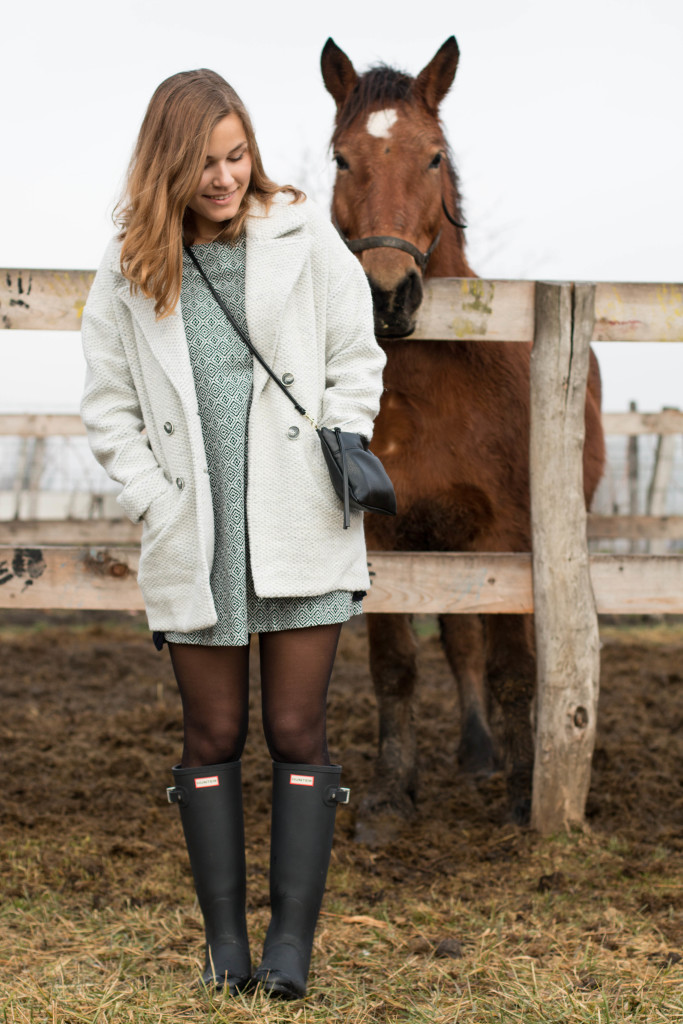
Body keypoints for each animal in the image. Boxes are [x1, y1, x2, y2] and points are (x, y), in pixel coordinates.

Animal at [321, 36, 602, 843]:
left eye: (434, 157)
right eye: (341, 158)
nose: (387, 294)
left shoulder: (506, 537)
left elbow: (511, 665)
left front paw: (521, 793)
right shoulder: (384, 542)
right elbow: (395, 668)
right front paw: (391, 794)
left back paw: (493, 755)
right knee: (455, 641)